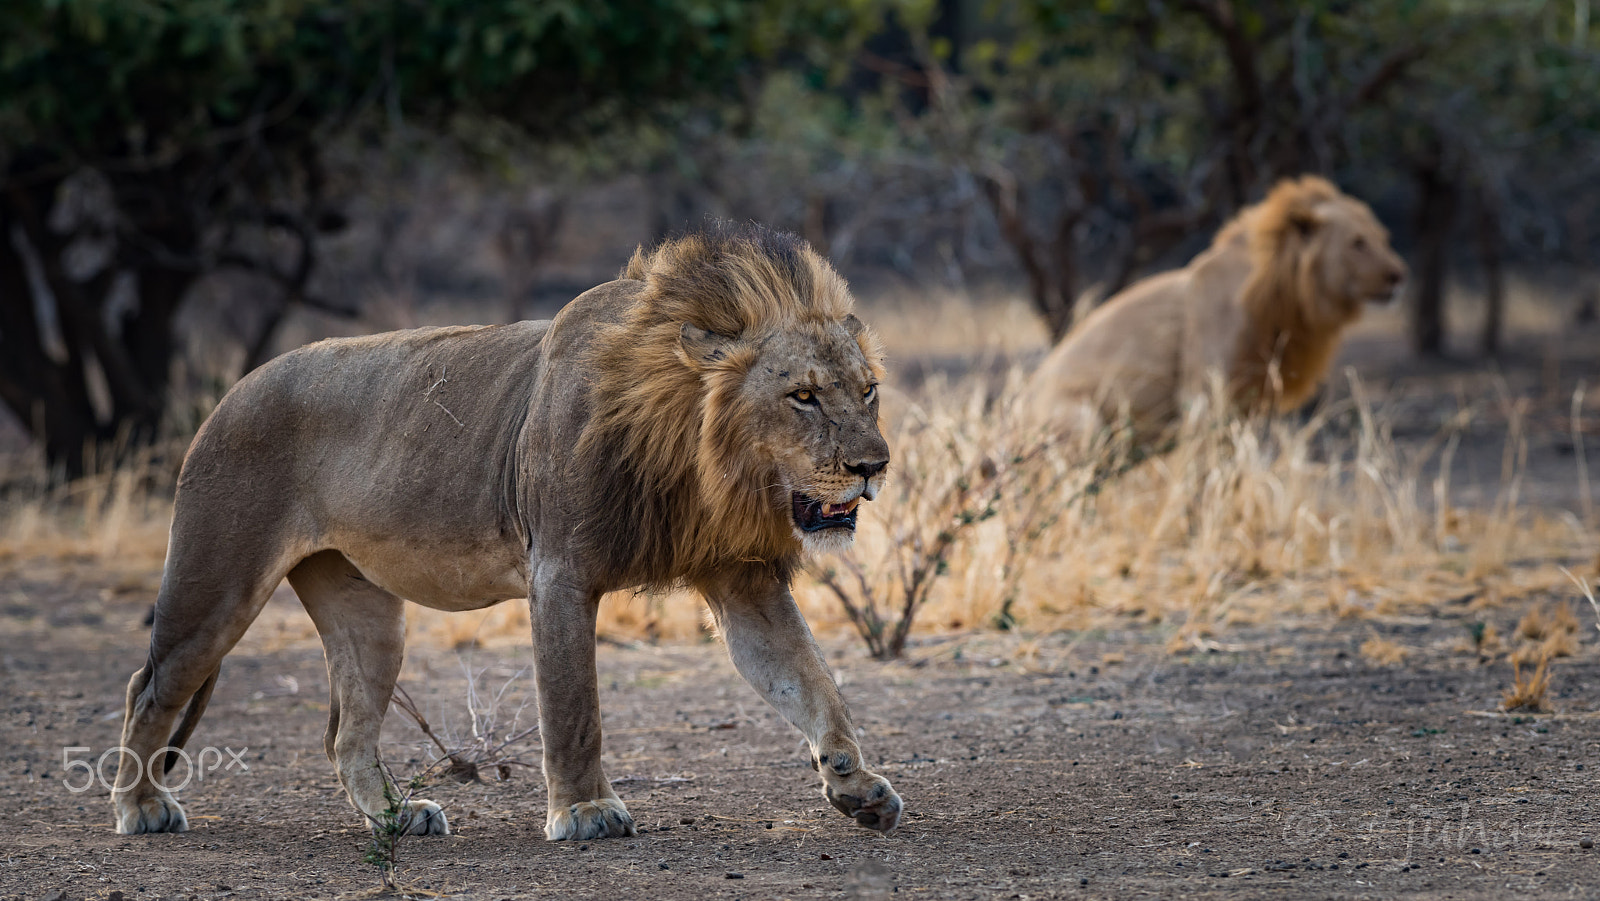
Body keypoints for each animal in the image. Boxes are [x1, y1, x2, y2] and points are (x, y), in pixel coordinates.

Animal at [116, 222, 902, 844]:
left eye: (867, 391)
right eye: (802, 396)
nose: (874, 466)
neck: (698, 459)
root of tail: (231, 392)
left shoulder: (741, 578)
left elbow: (811, 679)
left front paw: (856, 783)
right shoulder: (559, 572)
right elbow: (573, 705)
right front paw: (585, 812)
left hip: (365, 611)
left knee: (346, 733)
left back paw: (398, 817)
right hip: (216, 580)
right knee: (148, 687)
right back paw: (141, 806)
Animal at [1030, 176, 1408, 448]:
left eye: (1383, 238)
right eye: (1357, 243)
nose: (1399, 275)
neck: (1285, 295)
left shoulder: (1244, 404)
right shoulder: (1204, 398)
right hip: (1078, 423)